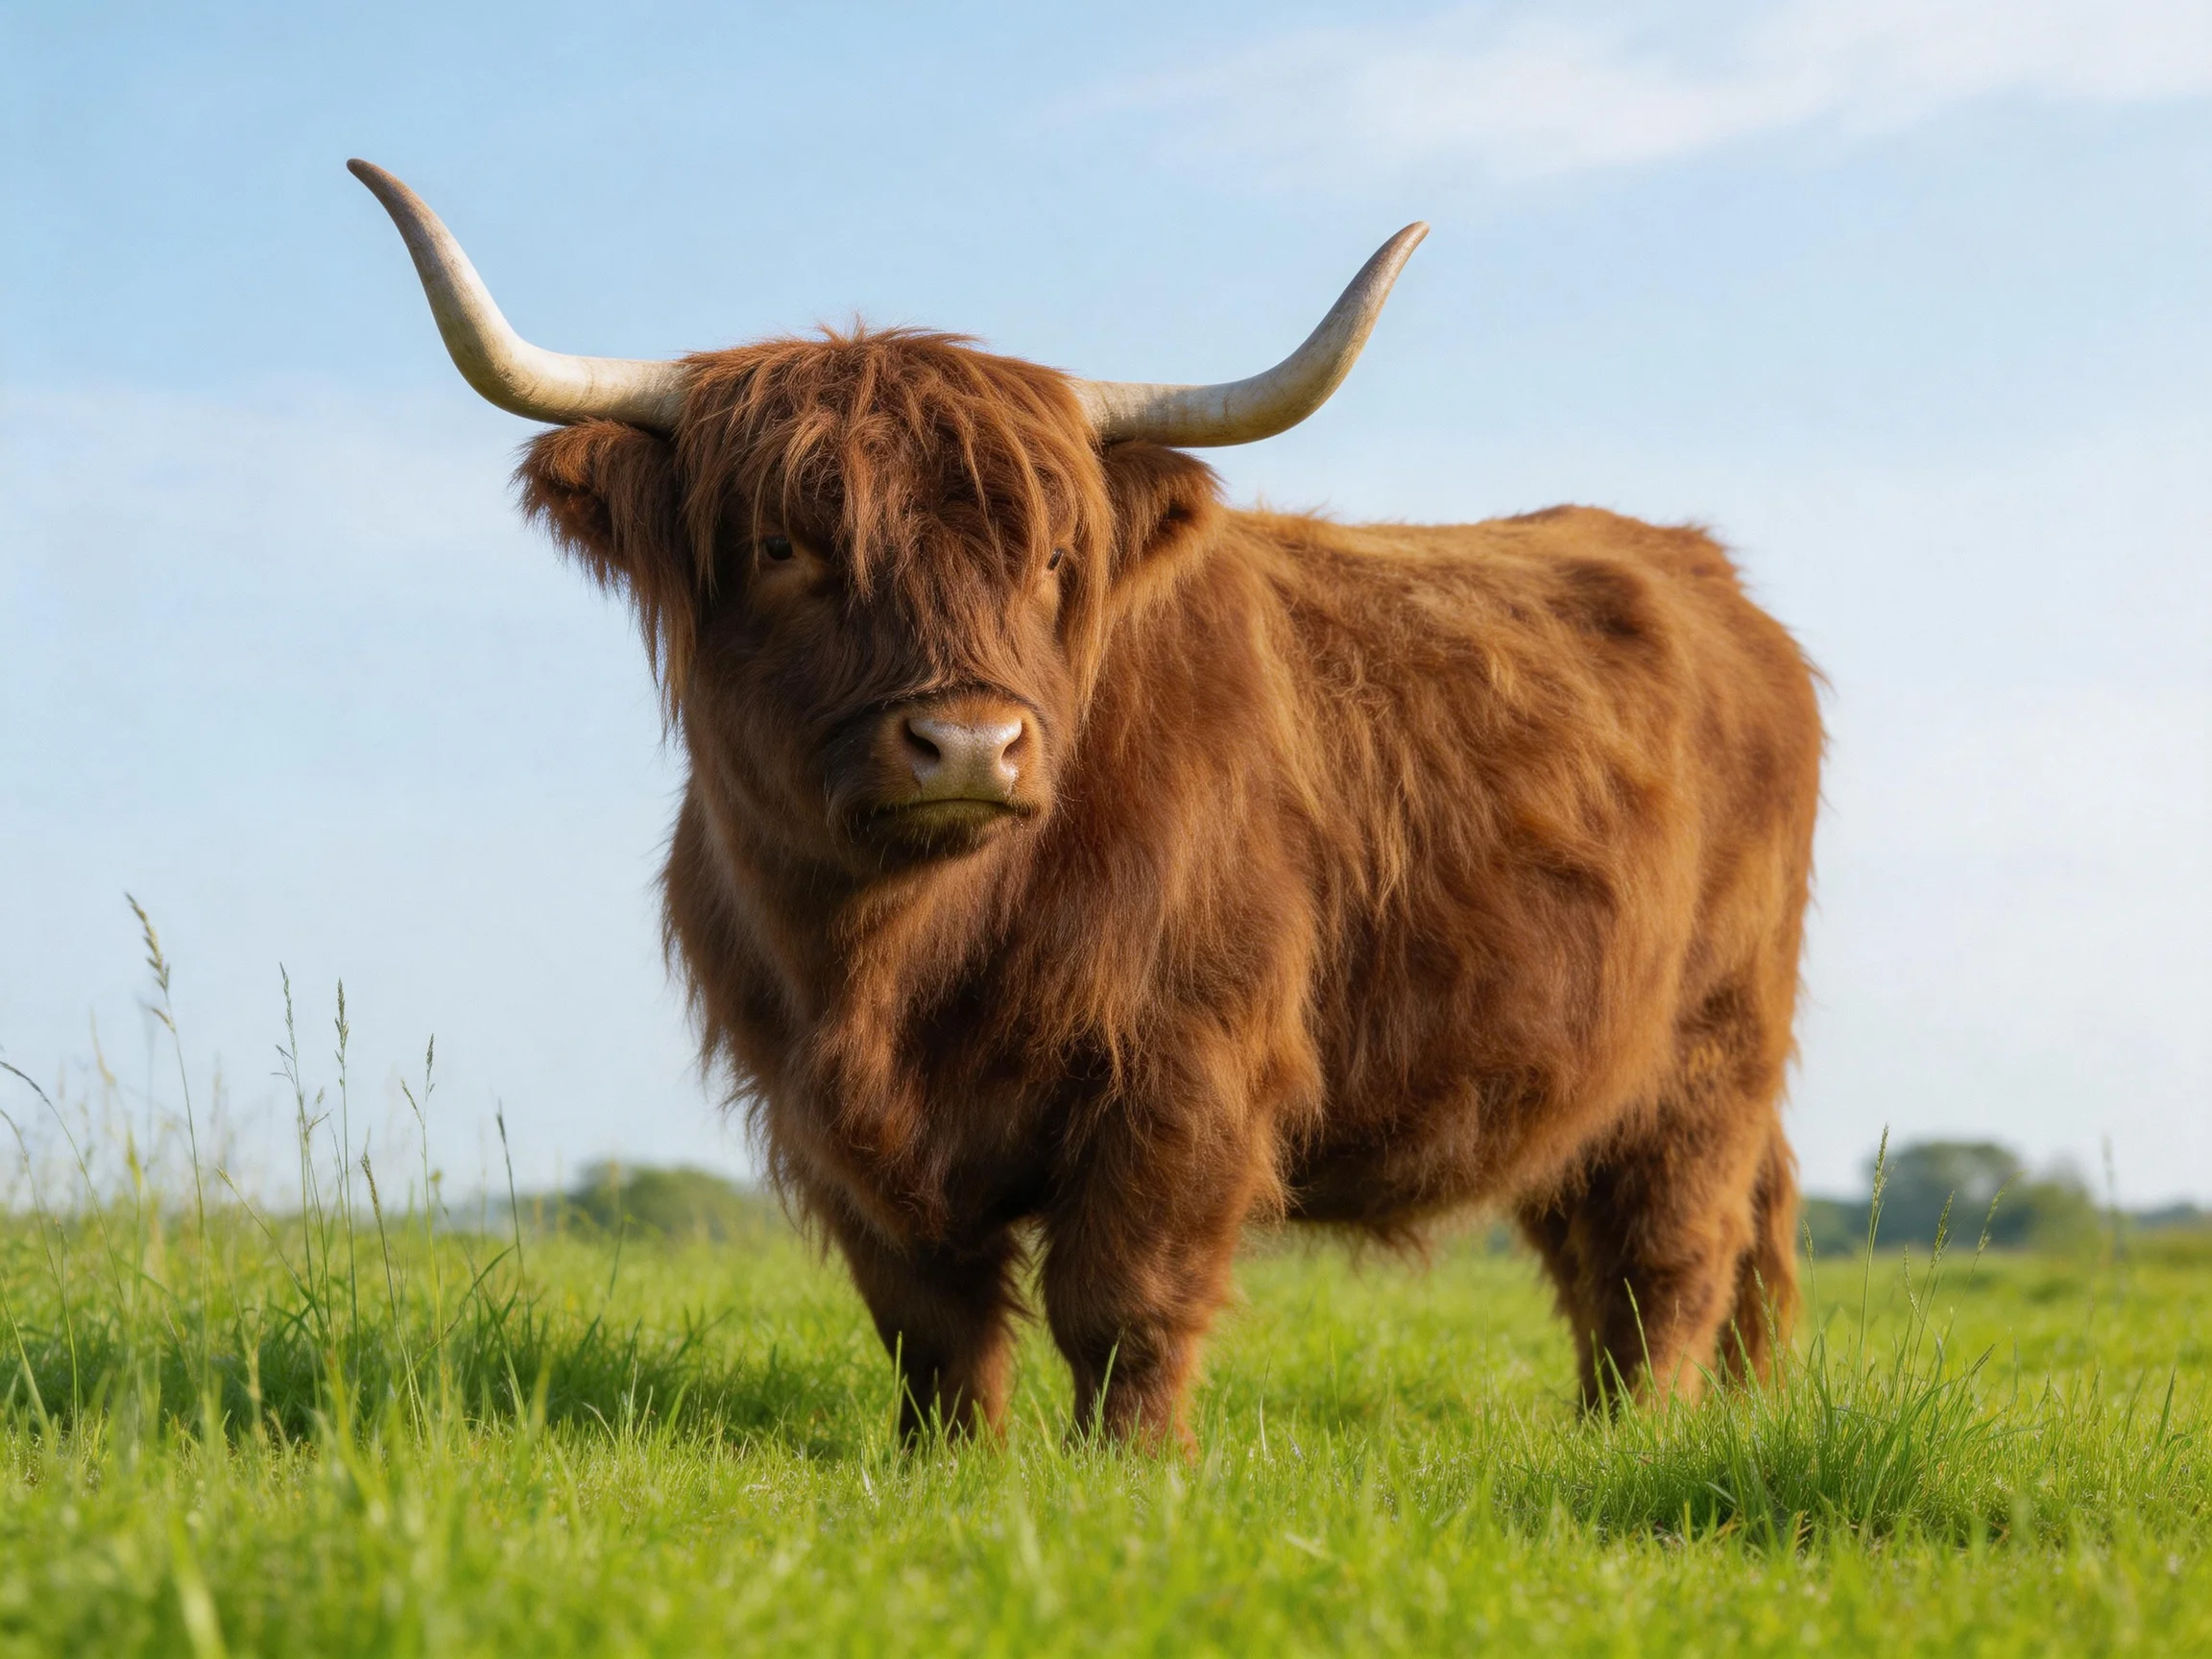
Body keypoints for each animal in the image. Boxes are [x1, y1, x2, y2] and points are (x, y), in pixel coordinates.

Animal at [353, 160, 1822, 1448]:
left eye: (1056, 555)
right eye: (783, 545)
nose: (969, 743)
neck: (895, 960)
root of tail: (1702, 571)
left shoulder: (1190, 1066)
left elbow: (1125, 1303)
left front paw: (1134, 1470)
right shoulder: (821, 1107)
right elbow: (930, 1320)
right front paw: (945, 1464)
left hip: (1711, 1044)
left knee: (1674, 1248)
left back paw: (1638, 1434)